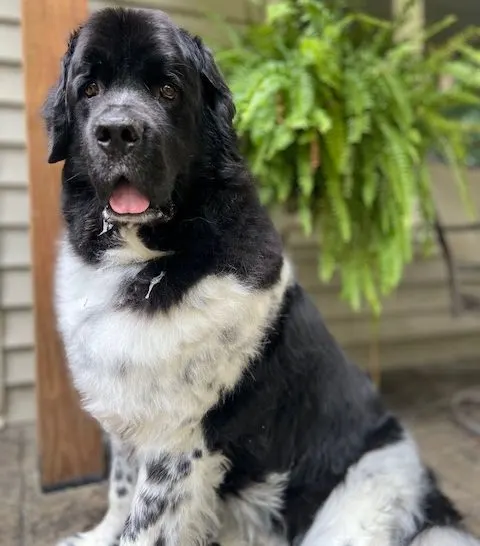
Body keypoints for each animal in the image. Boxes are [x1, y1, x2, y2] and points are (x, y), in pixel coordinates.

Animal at [43, 7, 478, 544]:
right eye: (90, 89)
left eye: (167, 90)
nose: (119, 131)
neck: (149, 257)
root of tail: (431, 502)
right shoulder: (130, 418)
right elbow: (121, 487)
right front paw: (100, 532)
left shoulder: (178, 443)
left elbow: (143, 526)